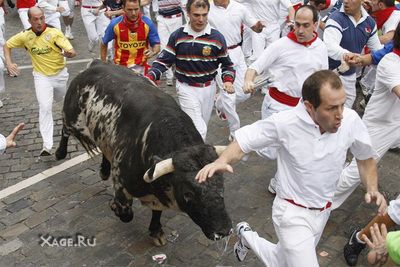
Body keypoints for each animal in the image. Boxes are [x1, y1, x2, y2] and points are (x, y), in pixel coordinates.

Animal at [54, 60, 233, 247]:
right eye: (188, 193)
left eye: (221, 185)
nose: (223, 231)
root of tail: (96, 64)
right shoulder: (122, 186)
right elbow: (126, 214)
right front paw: (114, 206)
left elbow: (156, 212)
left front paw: (156, 231)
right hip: (73, 119)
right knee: (64, 130)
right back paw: (60, 153)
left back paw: (104, 170)